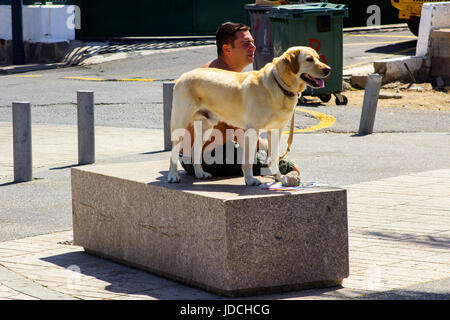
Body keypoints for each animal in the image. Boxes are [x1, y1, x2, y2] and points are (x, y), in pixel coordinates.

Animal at [168, 45, 330, 185]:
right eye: (309, 59)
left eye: (318, 58)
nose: (328, 69)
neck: (281, 86)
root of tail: (182, 76)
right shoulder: (252, 130)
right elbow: (249, 159)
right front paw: (250, 180)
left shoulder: (276, 130)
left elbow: (274, 157)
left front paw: (279, 178)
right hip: (180, 125)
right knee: (174, 152)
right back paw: (173, 176)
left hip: (206, 127)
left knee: (195, 149)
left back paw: (200, 173)